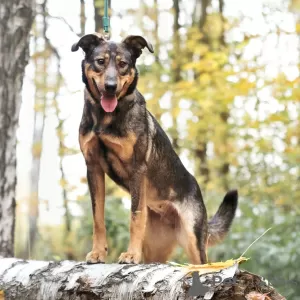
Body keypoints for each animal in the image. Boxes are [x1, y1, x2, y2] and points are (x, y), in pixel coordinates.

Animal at [71, 32, 238, 262]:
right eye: (100, 62)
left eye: (123, 64)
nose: (111, 86)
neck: (105, 118)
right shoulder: (93, 167)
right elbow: (98, 218)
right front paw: (98, 252)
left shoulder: (137, 168)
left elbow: (135, 216)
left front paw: (131, 254)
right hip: (156, 250)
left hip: (194, 242)